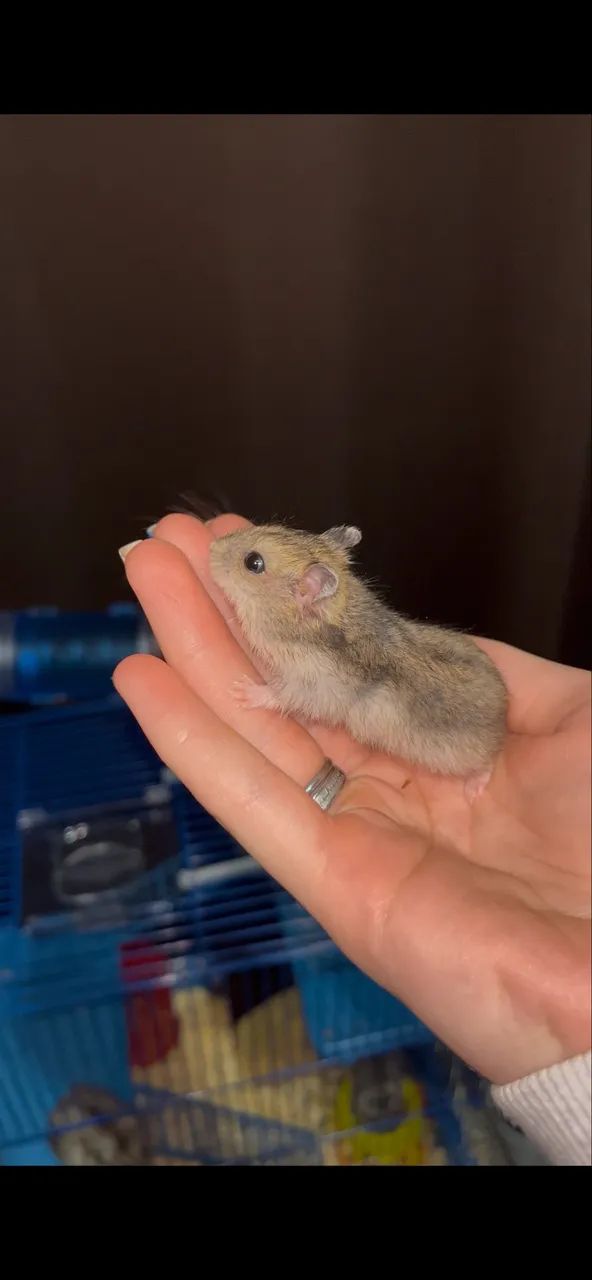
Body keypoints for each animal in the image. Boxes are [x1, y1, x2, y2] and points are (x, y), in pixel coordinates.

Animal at [209, 523, 508, 790]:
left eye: (254, 563)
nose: (211, 548)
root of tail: (505, 716)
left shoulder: (314, 686)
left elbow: (282, 695)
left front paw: (242, 691)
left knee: (488, 765)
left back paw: (475, 787)